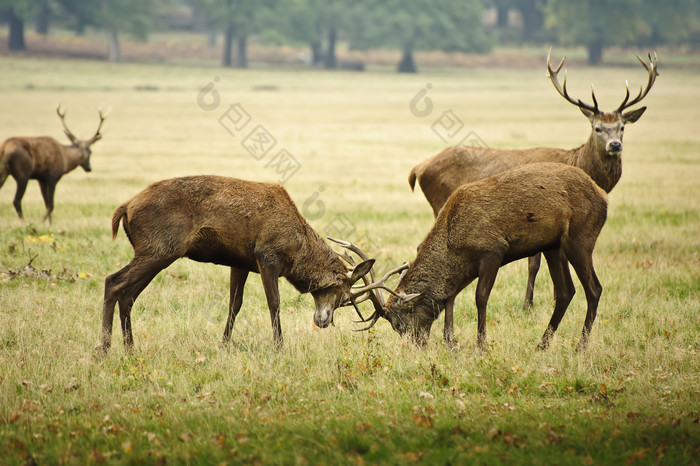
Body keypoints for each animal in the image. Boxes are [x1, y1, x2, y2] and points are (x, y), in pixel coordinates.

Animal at [97, 176, 378, 354]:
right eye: (343, 296)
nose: (324, 321)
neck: (296, 249)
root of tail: (125, 208)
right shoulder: (267, 255)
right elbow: (274, 303)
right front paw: (279, 347)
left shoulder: (241, 262)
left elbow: (235, 304)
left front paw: (223, 344)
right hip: (159, 248)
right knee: (113, 282)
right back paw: (104, 349)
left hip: (156, 252)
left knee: (129, 295)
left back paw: (130, 348)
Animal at [356, 163, 608, 350]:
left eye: (398, 324)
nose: (416, 346)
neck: (453, 244)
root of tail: (603, 196)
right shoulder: (466, 267)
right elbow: (450, 297)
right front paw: (451, 342)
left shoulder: (493, 250)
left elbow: (480, 297)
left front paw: (481, 344)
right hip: (552, 246)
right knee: (566, 291)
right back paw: (542, 344)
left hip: (580, 237)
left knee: (594, 288)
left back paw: (580, 346)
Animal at [408, 50, 660, 314]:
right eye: (598, 128)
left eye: (622, 127)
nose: (615, 145)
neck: (578, 162)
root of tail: (418, 168)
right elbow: (534, 263)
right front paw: (528, 304)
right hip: (440, 204)